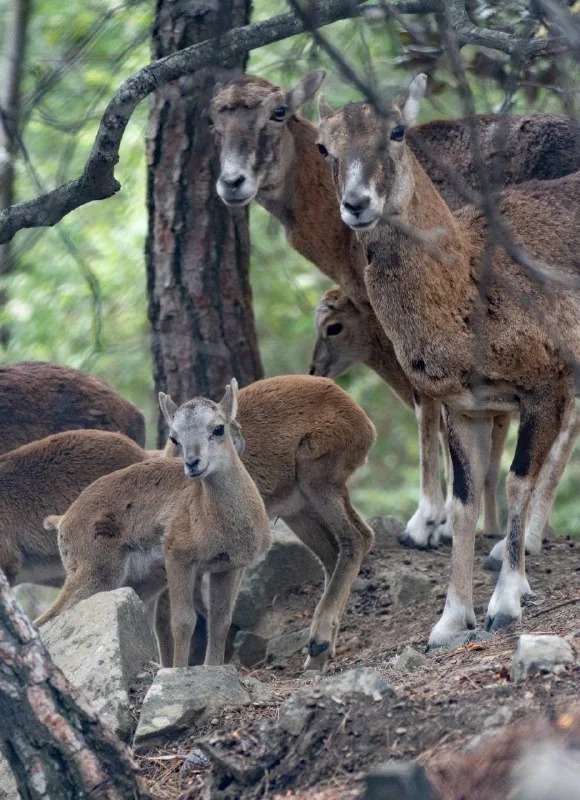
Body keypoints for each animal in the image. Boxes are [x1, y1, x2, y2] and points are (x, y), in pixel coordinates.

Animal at [36, 375, 376, 671]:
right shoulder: (184, 564)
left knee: (353, 541)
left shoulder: (224, 566)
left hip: (314, 491)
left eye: (218, 428)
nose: (192, 463)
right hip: (102, 577)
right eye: (174, 436)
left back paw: (319, 647)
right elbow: (186, 621)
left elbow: (214, 620)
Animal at [209, 72, 580, 553]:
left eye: (278, 112)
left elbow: (427, 407)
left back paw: (525, 539)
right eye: (214, 122)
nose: (233, 182)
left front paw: (427, 524)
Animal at [314, 75, 580, 648]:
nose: (356, 203)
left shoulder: (545, 386)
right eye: (324, 145)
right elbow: (465, 501)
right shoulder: (464, 405)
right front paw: (450, 621)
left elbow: (518, 479)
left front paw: (506, 603)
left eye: (397, 130)